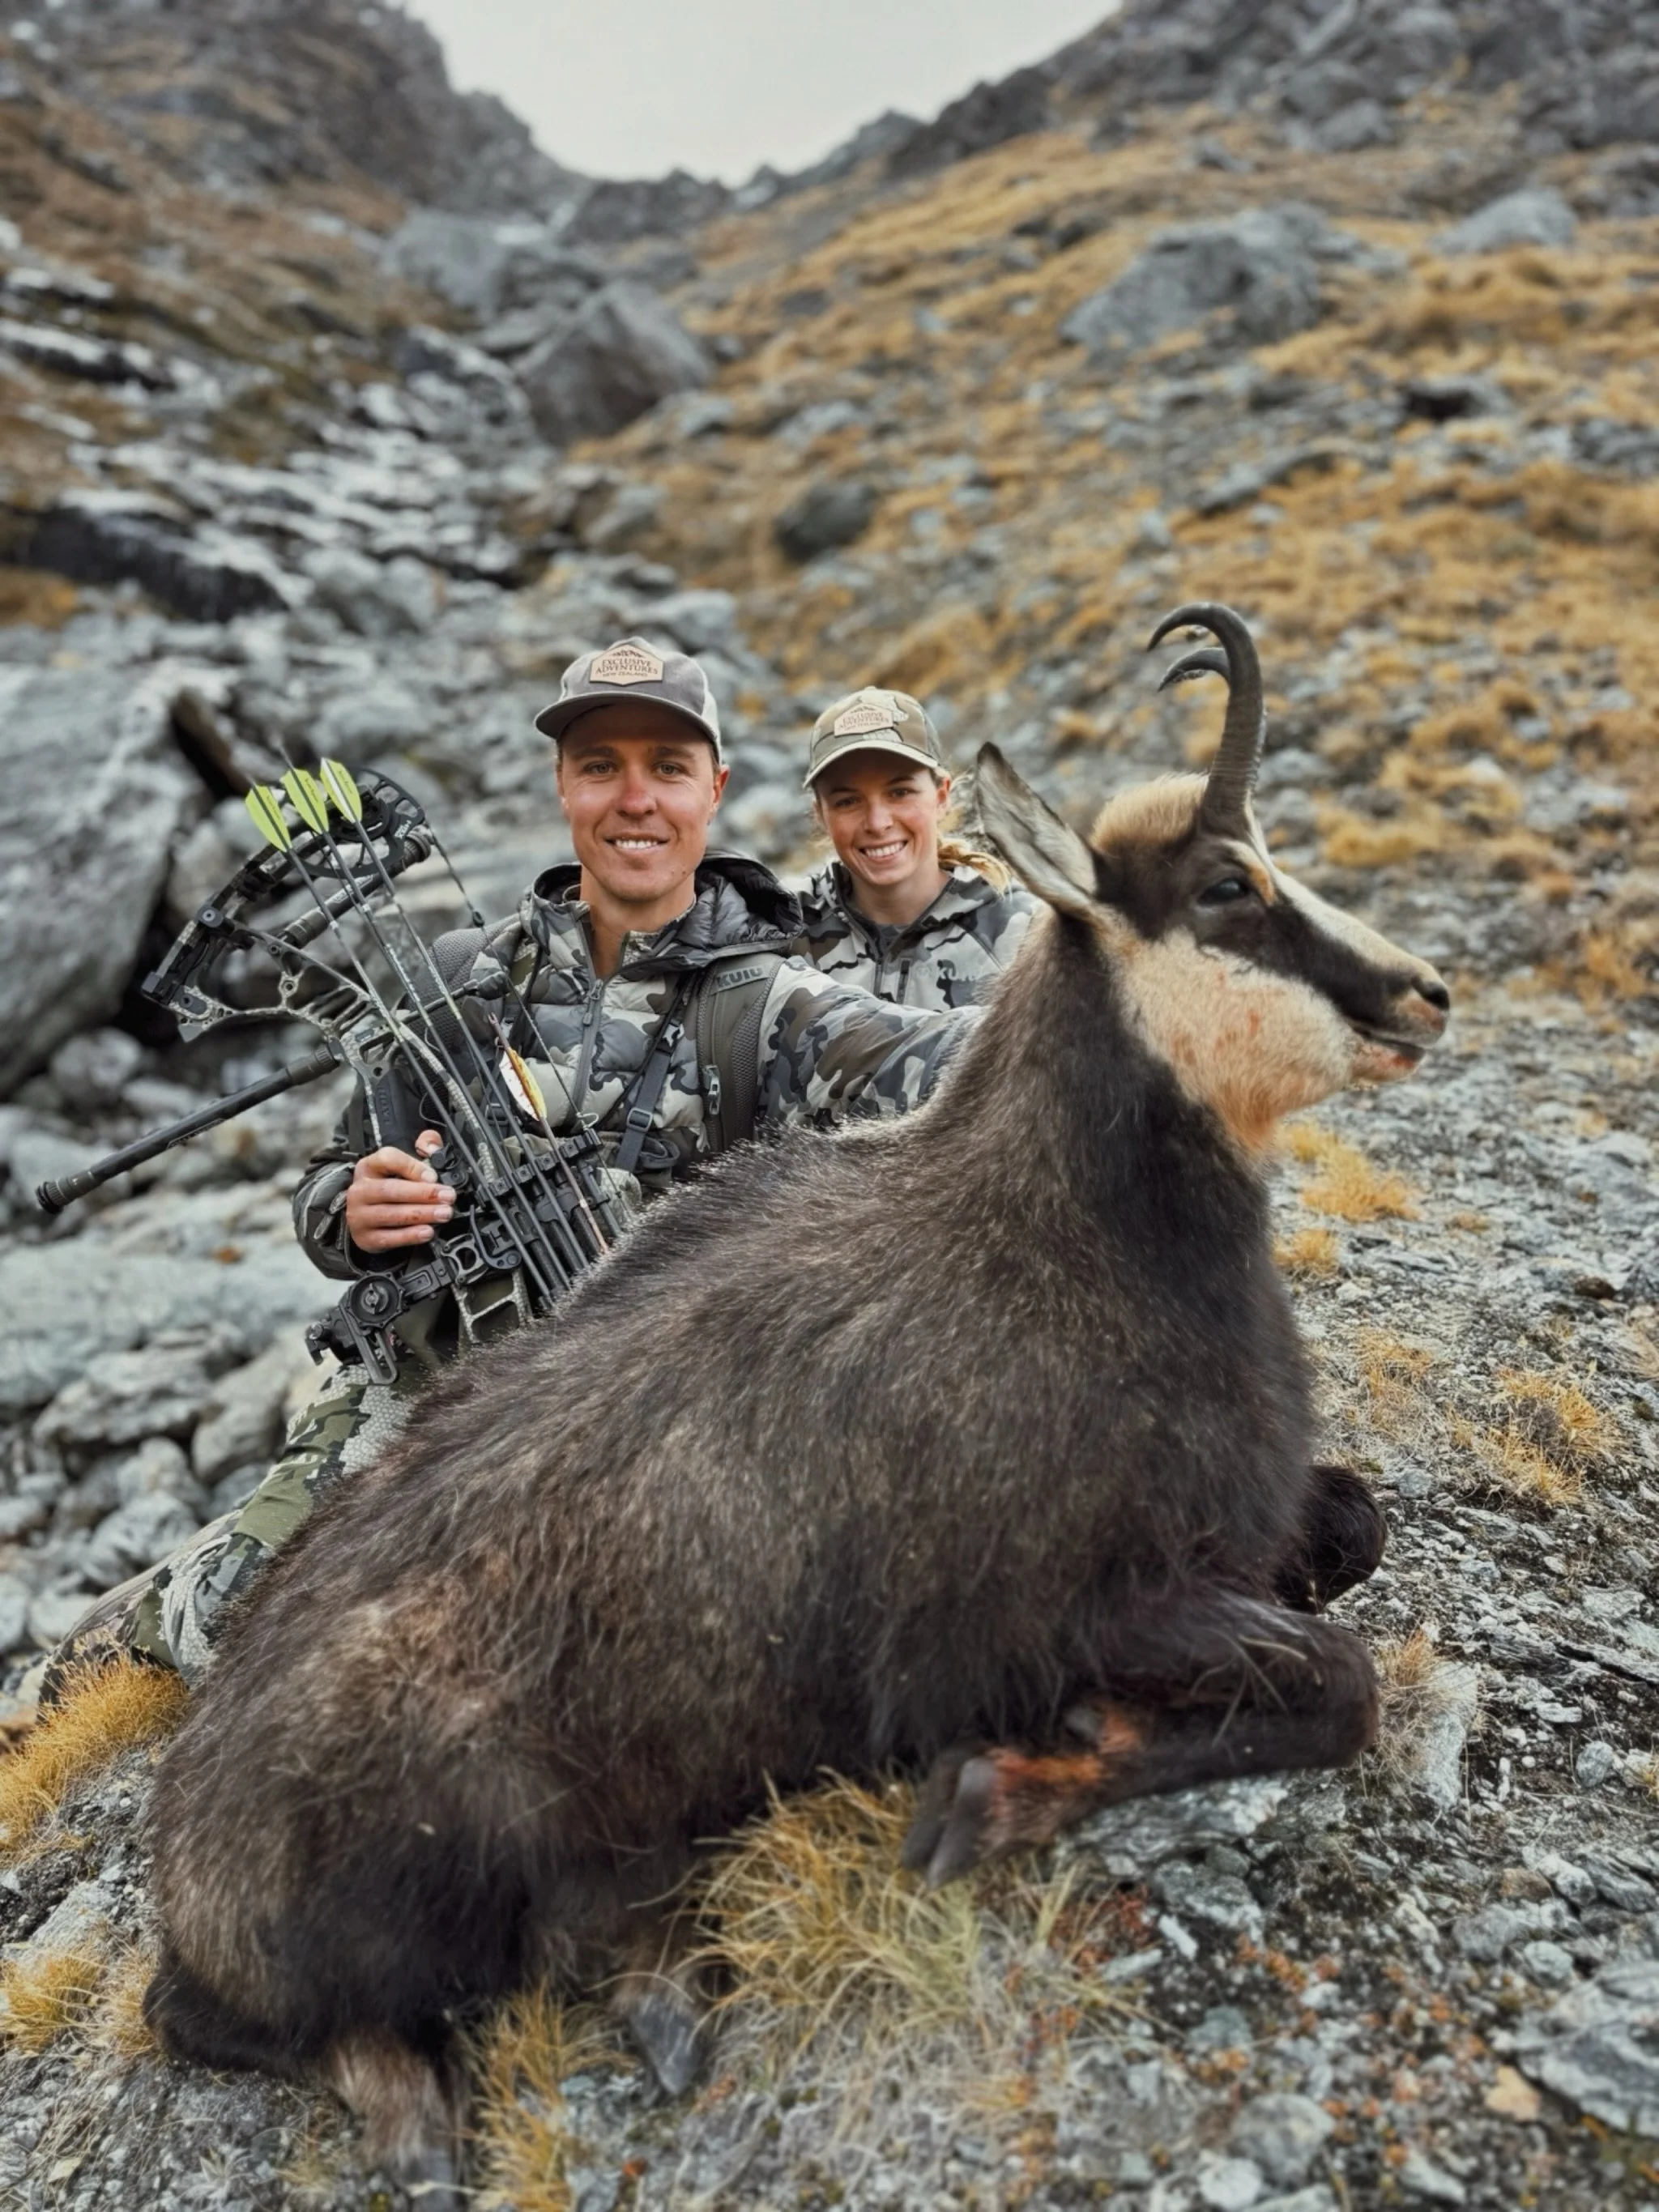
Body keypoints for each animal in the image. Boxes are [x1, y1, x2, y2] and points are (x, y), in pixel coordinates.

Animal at [142, 604, 1449, 2204]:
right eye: (1224, 884)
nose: (1424, 991)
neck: (1073, 1244)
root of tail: (189, 1861)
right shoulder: (1044, 1610)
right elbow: (1339, 1685)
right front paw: (992, 1793)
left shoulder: (1240, 1534)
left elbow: (1356, 1534)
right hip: (453, 1841)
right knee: (276, 2013)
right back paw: (486, 2087)